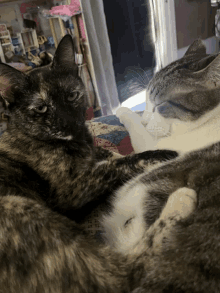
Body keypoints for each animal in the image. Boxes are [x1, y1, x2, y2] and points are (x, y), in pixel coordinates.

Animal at [0, 33, 189, 290]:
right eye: (40, 108)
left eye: (72, 95)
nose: (69, 124)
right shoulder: (71, 190)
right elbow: (118, 165)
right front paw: (161, 154)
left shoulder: (92, 153)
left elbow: (111, 157)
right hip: (17, 204)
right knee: (124, 276)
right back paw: (181, 202)